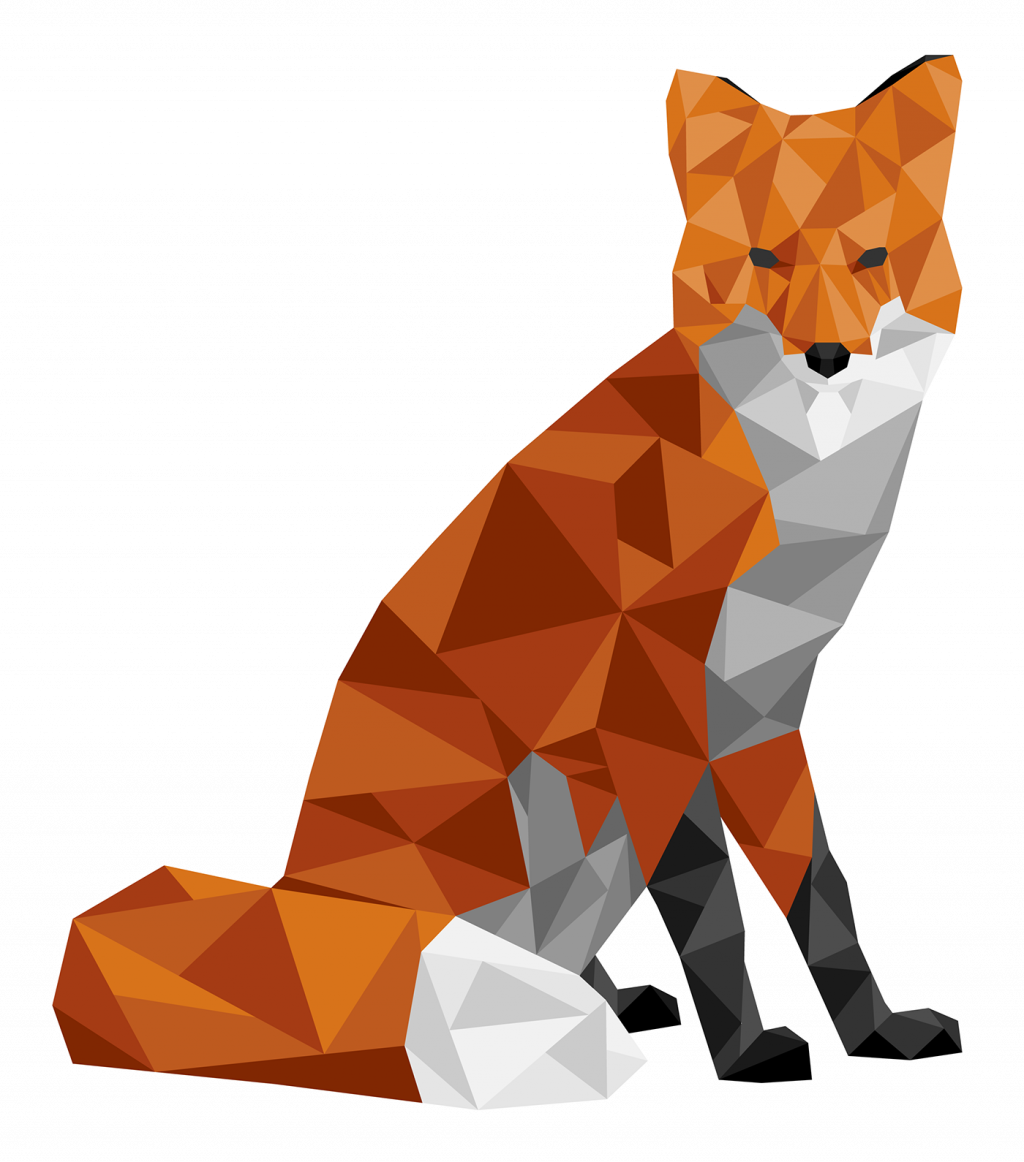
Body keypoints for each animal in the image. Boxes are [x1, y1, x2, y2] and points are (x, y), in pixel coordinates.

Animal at [53, 56, 962, 1108]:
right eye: (766, 260)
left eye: (873, 259)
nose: (826, 358)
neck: (795, 487)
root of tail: (300, 894)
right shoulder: (658, 717)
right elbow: (716, 915)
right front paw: (747, 1055)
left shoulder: (761, 716)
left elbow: (820, 897)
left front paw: (877, 1032)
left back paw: (607, 1000)